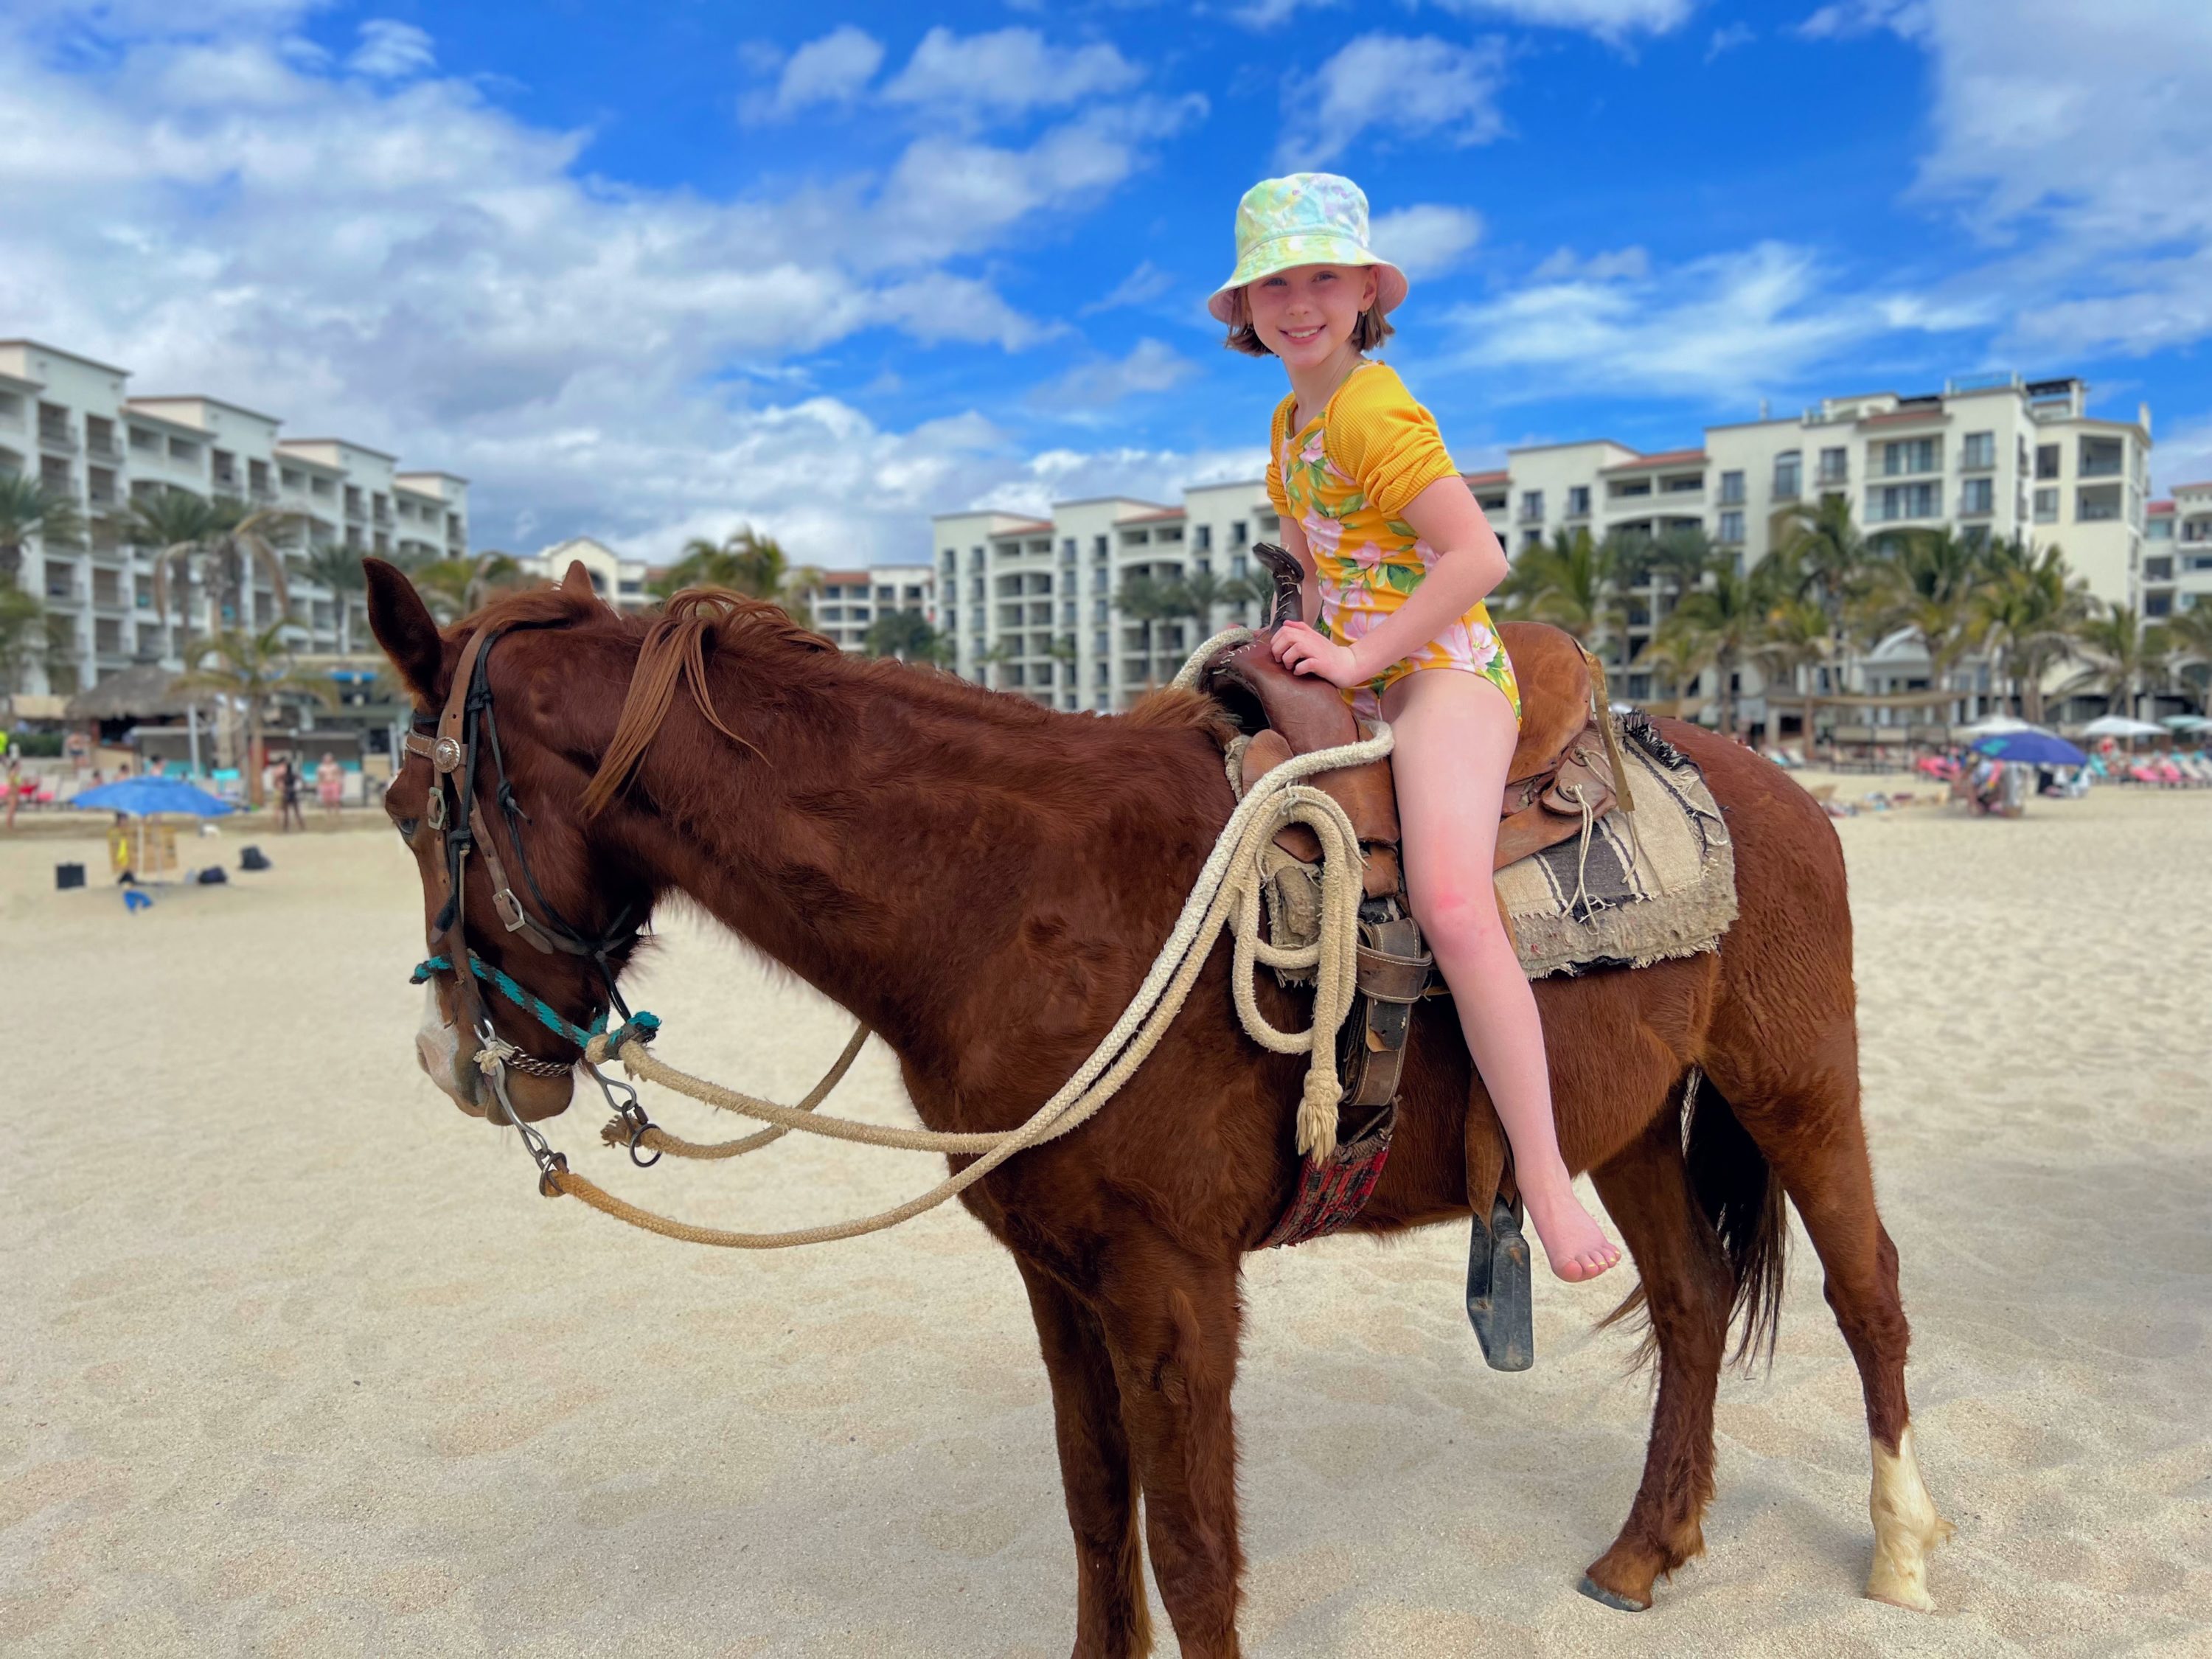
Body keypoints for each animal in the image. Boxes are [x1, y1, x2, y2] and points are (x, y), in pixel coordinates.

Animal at [364, 557, 1947, 1657]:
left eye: (397, 803)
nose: (454, 1064)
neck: (1011, 898)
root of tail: (1774, 781)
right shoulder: (1059, 1277)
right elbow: (1091, 1509)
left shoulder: (1172, 1285)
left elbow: (1191, 1552)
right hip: (1619, 1126)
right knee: (1688, 1304)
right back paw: (1647, 1547)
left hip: (1800, 1083)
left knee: (1870, 1293)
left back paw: (1901, 1549)